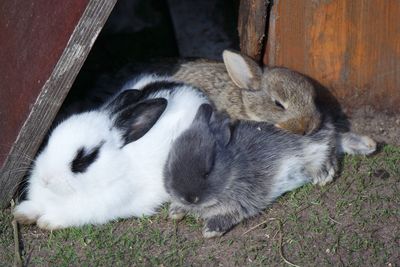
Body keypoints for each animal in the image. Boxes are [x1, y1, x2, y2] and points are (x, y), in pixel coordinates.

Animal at [164, 104, 340, 239]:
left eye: (208, 171)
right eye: (169, 167)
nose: (189, 198)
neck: (233, 167)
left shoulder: (240, 202)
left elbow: (227, 215)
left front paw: (211, 230)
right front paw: (175, 211)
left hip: (315, 148)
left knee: (329, 149)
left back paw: (324, 175)